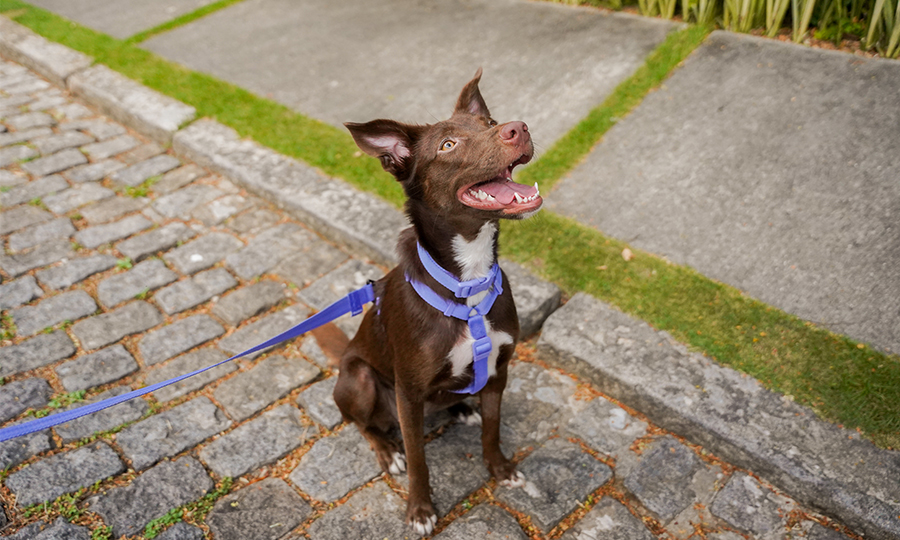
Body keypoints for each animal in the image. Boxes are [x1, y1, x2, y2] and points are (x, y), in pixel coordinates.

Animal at [332, 68, 536, 536]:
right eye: (448, 145)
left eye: (489, 122)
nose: (519, 127)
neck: (468, 282)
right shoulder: (407, 394)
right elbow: (419, 461)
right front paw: (420, 509)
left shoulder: (498, 370)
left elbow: (493, 430)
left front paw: (500, 470)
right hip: (359, 378)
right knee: (362, 424)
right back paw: (387, 451)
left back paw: (460, 407)